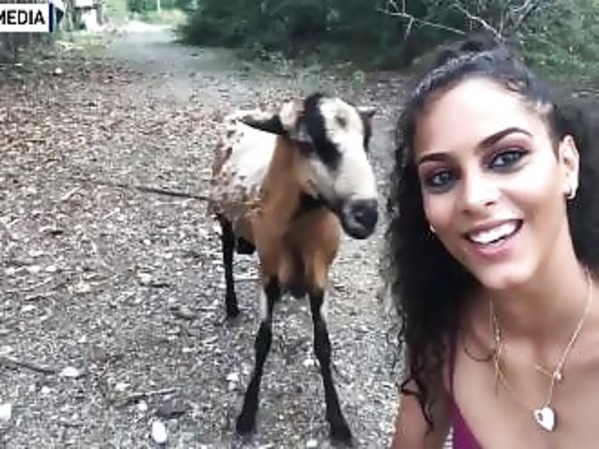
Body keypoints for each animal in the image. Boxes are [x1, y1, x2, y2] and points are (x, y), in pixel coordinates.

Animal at [207, 92, 379, 444]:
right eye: (307, 143)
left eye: (366, 140)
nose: (366, 214)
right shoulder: (269, 270)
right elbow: (263, 341)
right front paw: (246, 416)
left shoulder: (319, 275)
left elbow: (324, 346)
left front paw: (339, 423)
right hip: (224, 214)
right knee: (227, 255)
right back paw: (231, 305)